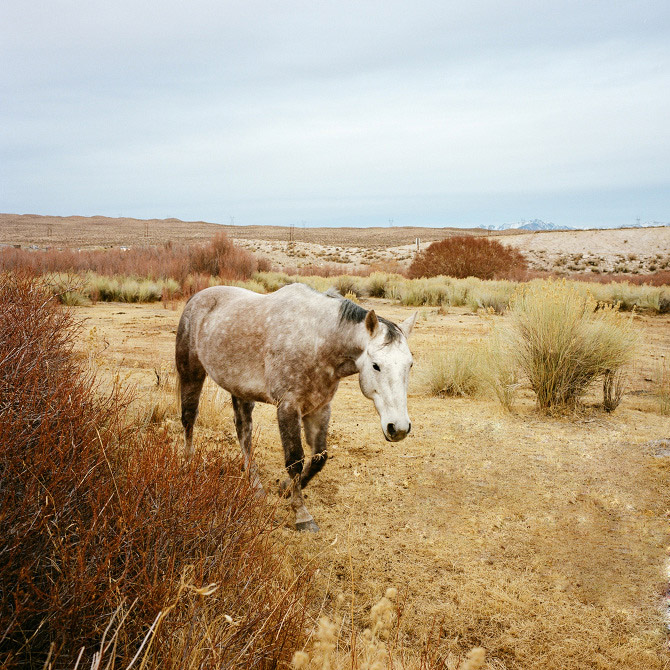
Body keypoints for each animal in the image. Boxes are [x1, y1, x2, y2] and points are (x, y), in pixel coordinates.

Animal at [176, 284, 418, 536]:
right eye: (375, 365)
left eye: (410, 364)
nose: (398, 428)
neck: (317, 339)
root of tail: (197, 297)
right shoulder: (288, 407)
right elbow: (295, 460)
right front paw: (302, 515)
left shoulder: (320, 408)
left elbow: (319, 457)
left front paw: (285, 488)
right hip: (191, 373)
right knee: (189, 418)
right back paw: (188, 464)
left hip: (240, 390)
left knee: (244, 433)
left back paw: (255, 485)